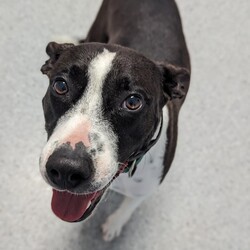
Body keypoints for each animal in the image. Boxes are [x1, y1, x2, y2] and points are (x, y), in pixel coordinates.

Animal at [40, 0, 190, 242]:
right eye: (61, 86)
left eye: (133, 102)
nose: (66, 169)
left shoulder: (145, 189)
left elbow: (129, 206)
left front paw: (114, 224)